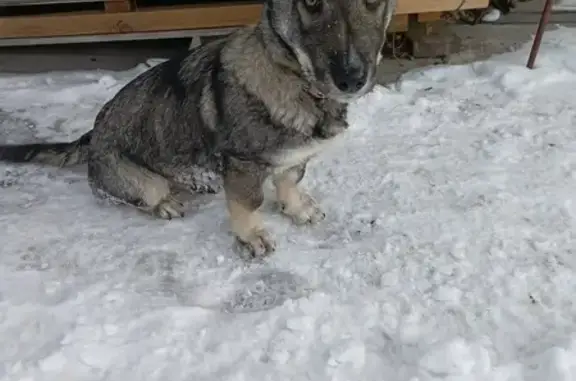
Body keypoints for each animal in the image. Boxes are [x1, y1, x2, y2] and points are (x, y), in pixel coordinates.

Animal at [0, 0, 396, 256]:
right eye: (312, 2)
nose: (351, 78)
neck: (295, 80)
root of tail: (92, 134)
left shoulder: (295, 158)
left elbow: (289, 181)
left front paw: (296, 208)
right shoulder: (243, 166)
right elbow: (247, 204)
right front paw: (251, 237)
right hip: (136, 181)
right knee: (148, 192)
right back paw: (166, 203)